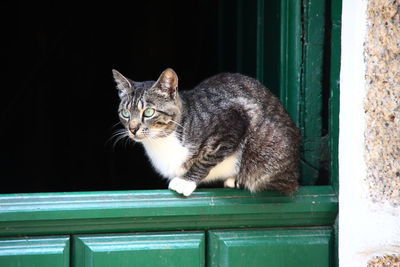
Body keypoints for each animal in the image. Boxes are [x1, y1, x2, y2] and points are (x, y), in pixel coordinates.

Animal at [112, 68, 300, 197]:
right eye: (125, 113)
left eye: (149, 112)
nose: (133, 128)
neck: (162, 140)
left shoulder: (234, 120)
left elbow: (207, 157)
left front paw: (185, 181)